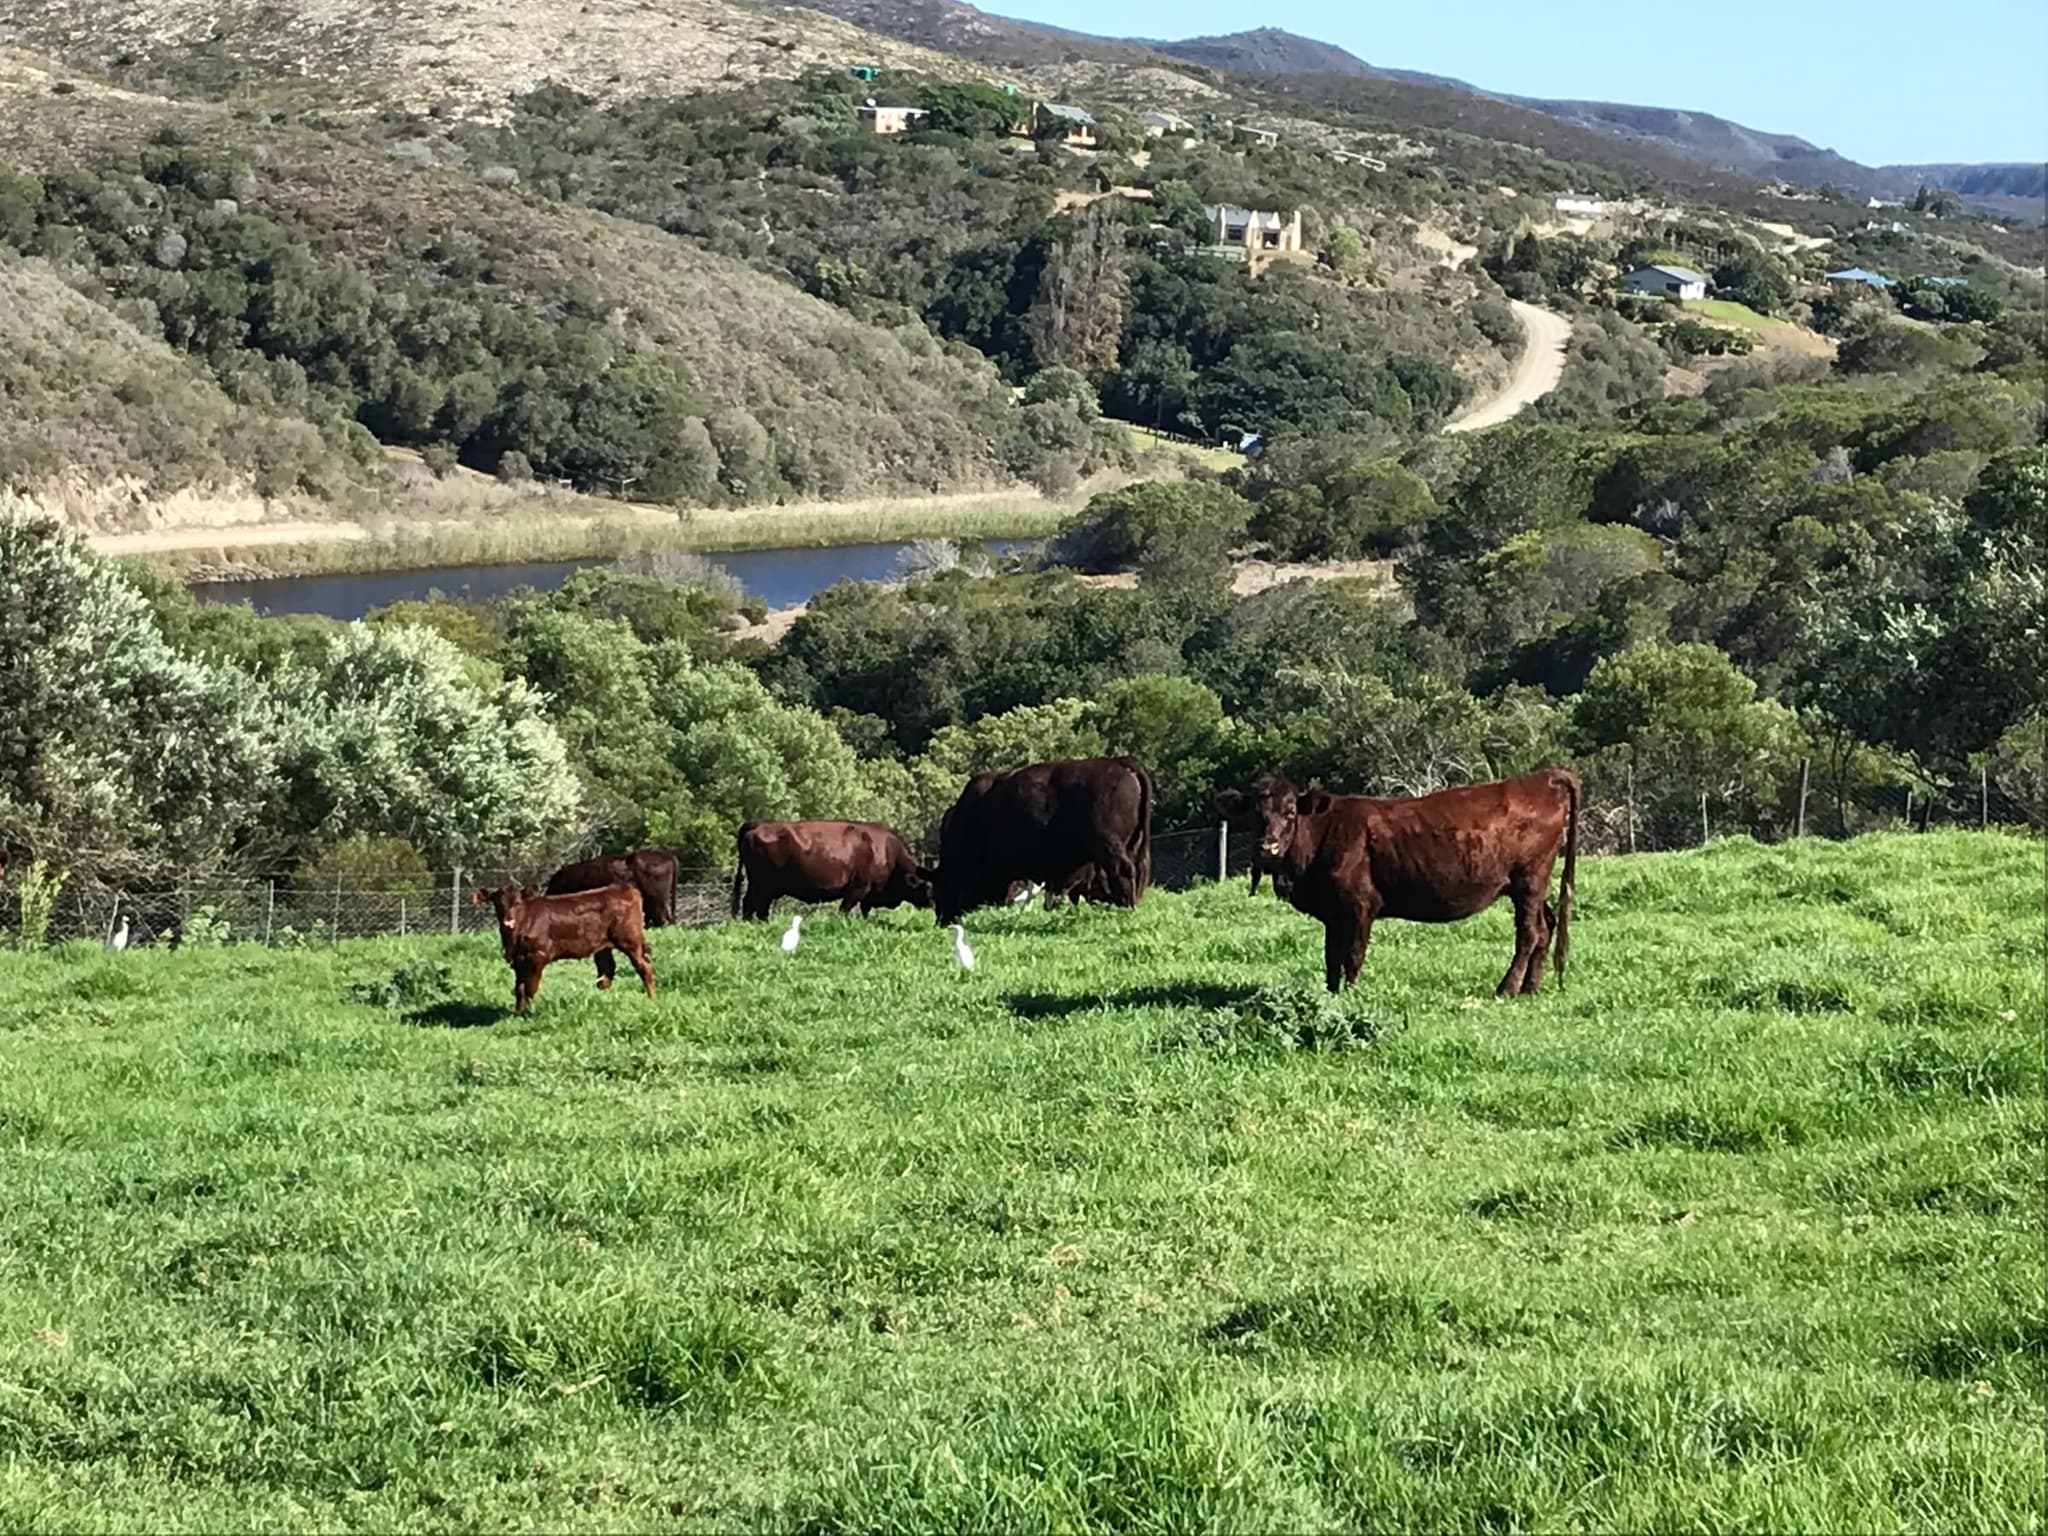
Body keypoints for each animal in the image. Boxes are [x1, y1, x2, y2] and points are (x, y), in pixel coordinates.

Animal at [471, 883, 655, 1015]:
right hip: (604, 946)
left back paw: (652, 997)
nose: (508, 923)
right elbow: (519, 988)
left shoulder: (538, 955)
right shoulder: (518, 959)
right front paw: (518, 1013)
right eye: (497, 904)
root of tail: (625, 888)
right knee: (606, 971)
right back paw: (603, 999)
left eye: (517, 903)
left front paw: (528, 1013)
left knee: (644, 966)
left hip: (631, 941)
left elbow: (530, 987)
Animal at [730, 820, 932, 921]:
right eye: (929, 887)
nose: (933, 904)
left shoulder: (867, 894)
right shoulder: (858, 889)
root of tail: (758, 825)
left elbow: (865, 910)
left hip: (762, 886)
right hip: (763, 885)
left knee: (754, 905)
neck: (886, 850)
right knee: (755, 905)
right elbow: (845, 910)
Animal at [932, 755, 1153, 925]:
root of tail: (1120, 762)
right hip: (1130, 846)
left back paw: (1126, 907)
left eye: (941, 889)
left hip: (1110, 847)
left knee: (1123, 871)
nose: (942, 921)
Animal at [1222, 769, 1579, 996]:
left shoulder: (1360, 905)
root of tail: (1543, 777)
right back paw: (1530, 988)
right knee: (1546, 926)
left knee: (1529, 933)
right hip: (1533, 885)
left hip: (1529, 879)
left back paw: (1507, 988)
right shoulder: (1333, 913)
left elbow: (1352, 954)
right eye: (1255, 813)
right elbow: (1331, 956)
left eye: (1291, 811)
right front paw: (1331, 994)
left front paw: (1351, 994)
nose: (1268, 847)